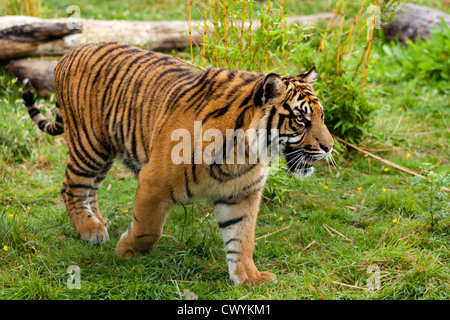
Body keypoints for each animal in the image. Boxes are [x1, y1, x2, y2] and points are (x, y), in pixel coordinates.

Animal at [22, 42, 334, 284]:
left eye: (321, 116)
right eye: (300, 119)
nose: (329, 147)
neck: (243, 153)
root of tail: (70, 52)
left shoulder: (242, 194)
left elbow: (242, 238)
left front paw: (249, 277)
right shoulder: (153, 181)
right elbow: (148, 229)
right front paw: (126, 250)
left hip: (106, 152)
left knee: (91, 189)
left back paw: (99, 221)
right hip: (89, 146)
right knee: (71, 188)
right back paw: (90, 230)